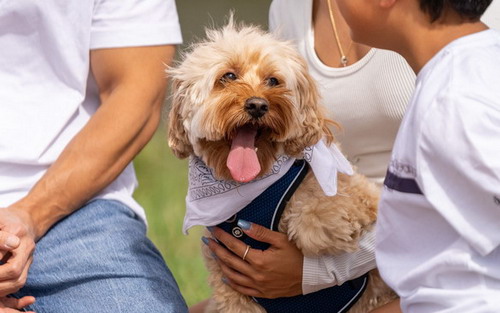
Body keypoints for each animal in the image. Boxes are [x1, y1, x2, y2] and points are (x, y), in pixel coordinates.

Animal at [168, 20, 398, 312]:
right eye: (228, 76)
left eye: (273, 80)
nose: (257, 105)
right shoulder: (230, 286)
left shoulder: (365, 193)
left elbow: (334, 201)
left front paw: (320, 226)